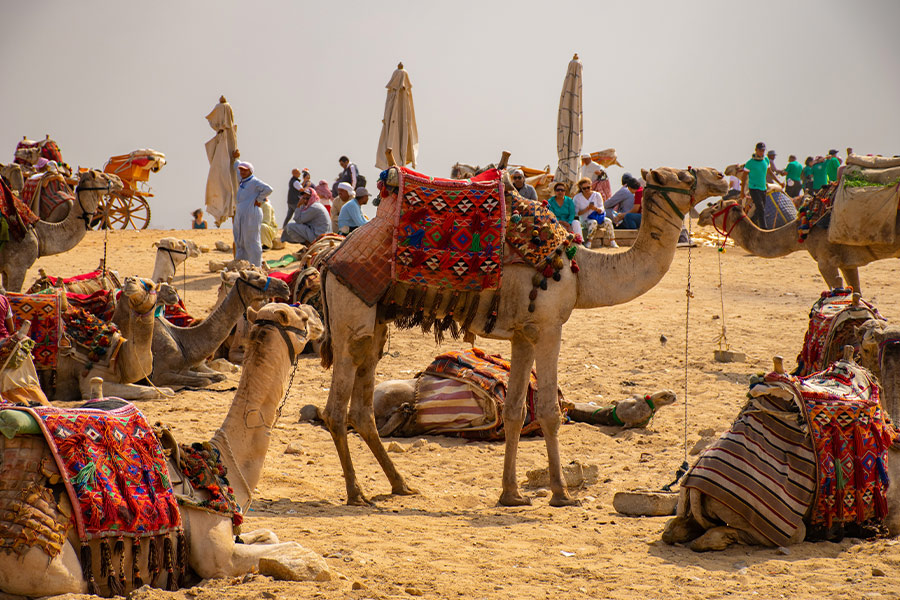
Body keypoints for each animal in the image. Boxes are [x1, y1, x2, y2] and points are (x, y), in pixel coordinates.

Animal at [0, 303, 324, 596]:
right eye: (302, 316)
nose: (319, 317)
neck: (222, 467)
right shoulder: (219, 558)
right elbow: (294, 548)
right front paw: (313, 566)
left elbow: (270, 533)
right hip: (44, 557)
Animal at [151, 271, 290, 388]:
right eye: (258, 278)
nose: (285, 287)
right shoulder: (159, 375)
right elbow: (205, 380)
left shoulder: (185, 369)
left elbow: (219, 376)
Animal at [318, 163, 728, 507]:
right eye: (683, 175)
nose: (721, 178)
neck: (580, 272)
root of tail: (329, 258)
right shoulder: (549, 328)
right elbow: (548, 411)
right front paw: (562, 493)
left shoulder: (523, 334)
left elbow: (515, 410)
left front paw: (511, 494)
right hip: (350, 313)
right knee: (336, 408)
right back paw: (357, 493)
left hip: (377, 321)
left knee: (363, 407)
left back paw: (400, 485)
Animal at [698, 200, 900, 294]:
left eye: (715, 207)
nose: (700, 215)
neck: (801, 231)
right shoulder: (847, 263)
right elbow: (857, 294)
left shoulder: (826, 261)